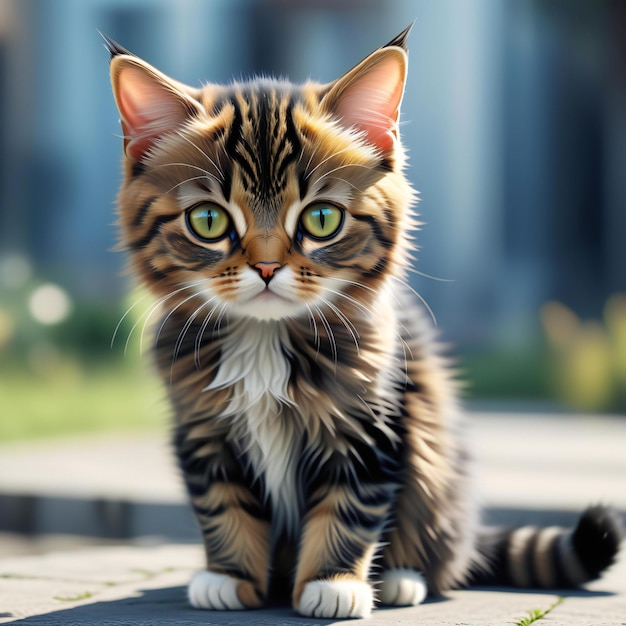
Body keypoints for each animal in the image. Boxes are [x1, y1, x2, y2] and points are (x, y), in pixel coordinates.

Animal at [103, 26, 620, 616]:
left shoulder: (374, 425)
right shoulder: (202, 429)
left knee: (437, 550)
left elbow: (349, 509)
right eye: (208, 221)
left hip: (435, 470)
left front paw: (334, 583)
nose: (266, 268)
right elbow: (223, 506)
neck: (264, 338)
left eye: (321, 218)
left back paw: (400, 578)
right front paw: (228, 576)